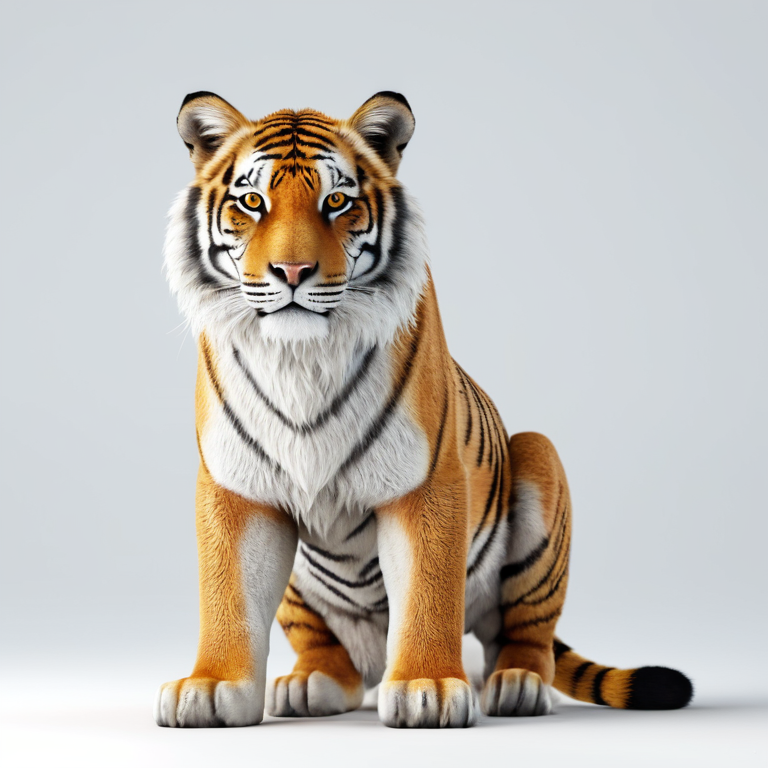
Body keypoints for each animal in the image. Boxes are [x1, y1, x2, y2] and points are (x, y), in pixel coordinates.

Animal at [155, 91, 693, 728]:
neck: (302, 356)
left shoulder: (428, 480)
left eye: (336, 201)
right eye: (252, 202)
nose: (292, 273)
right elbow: (227, 596)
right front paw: (211, 687)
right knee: (327, 647)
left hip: (538, 461)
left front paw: (427, 687)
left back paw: (517, 685)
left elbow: (428, 594)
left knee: (525, 633)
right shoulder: (236, 488)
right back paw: (311, 682)